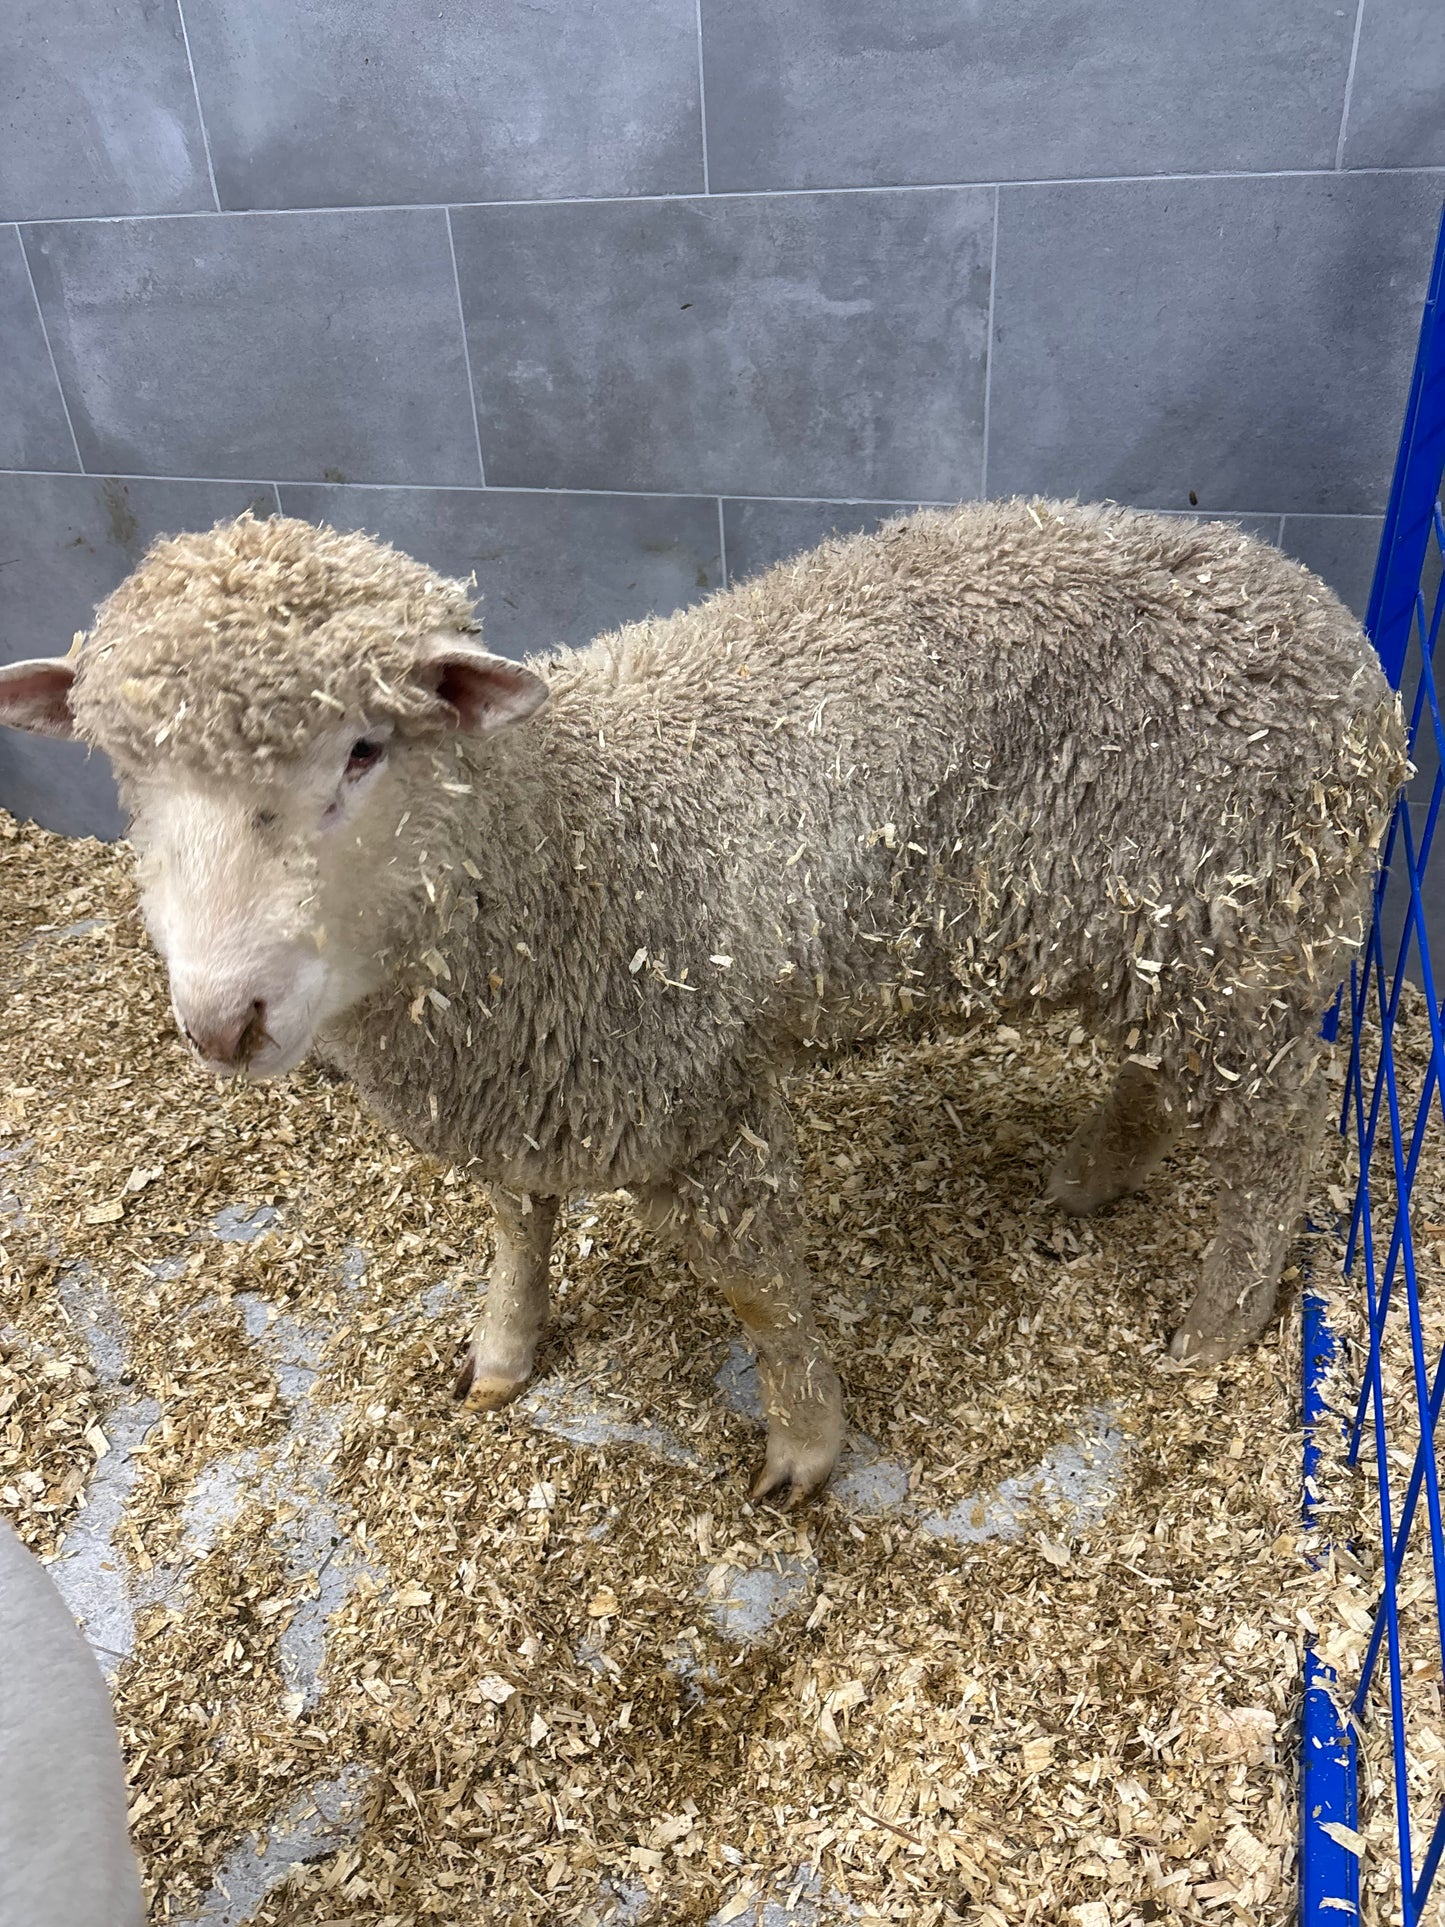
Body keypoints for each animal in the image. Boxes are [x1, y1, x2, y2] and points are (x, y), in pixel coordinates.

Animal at [0, 502, 1407, 1501]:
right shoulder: (527, 1081)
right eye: (124, 774)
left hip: (1254, 934)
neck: (570, 841)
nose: (221, 1019)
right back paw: (1091, 1176)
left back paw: (1216, 1324)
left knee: (1279, 1129)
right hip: (1171, 940)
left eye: (361, 750)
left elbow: (758, 1292)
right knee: (1158, 1072)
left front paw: (805, 1448)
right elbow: (514, 1225)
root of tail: (1326, 617)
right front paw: (502, 1353)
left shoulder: (702, 1099)